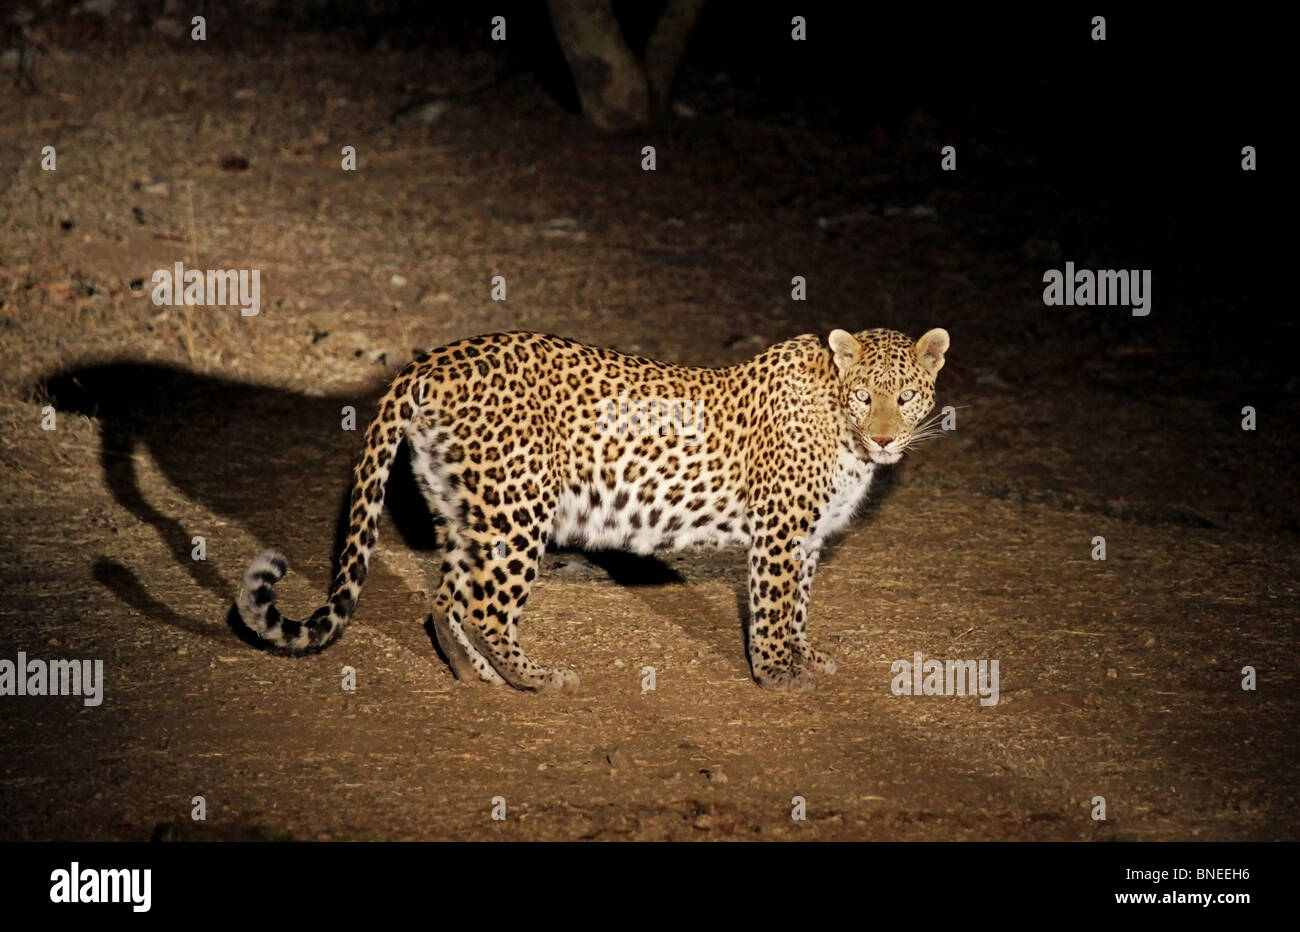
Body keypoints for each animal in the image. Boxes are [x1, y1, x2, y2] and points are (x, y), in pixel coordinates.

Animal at [236, 327, 946, 691]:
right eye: (864, 397)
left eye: (906, 397)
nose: (886, 439)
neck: (843, 432)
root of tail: (433, 360)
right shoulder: (779, 532)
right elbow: (774, 604)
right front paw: (776, 673)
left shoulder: (809, 537)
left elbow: (799, 603)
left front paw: (806, 656)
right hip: (518, 509)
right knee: (484, 607)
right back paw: (537, 677)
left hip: (467, 509)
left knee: (445, 599)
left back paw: (475, 675)